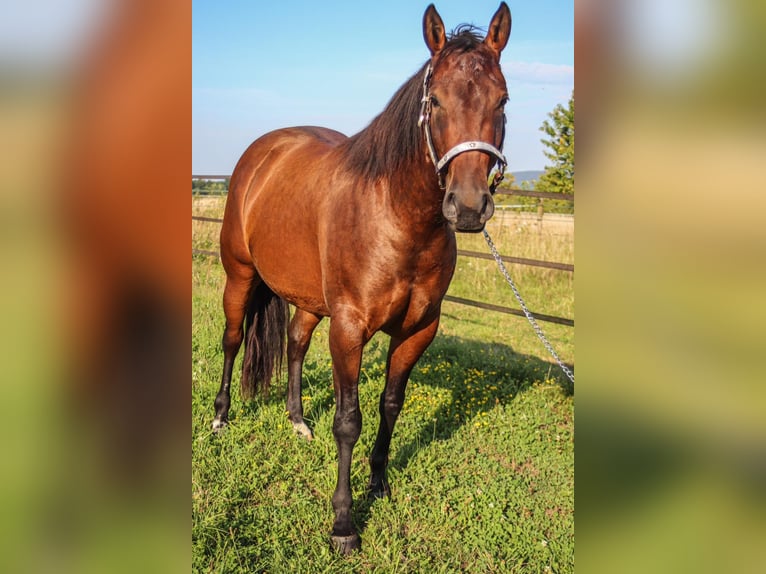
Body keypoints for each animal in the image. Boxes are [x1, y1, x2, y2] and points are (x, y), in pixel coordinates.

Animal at [213, 2, 512, 556]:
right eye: (434, 101)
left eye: (502, 99)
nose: (467, 207)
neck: (397, 217)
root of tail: (262, 152)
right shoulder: (350, 328)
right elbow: (348, 421)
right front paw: (344, 523)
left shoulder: (418, 331)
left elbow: (390, 405)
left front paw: (378, 482)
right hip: (239, 277)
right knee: (232, 339)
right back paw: (221, 417)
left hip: (310, 299)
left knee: (294, 342)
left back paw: (297, 421)